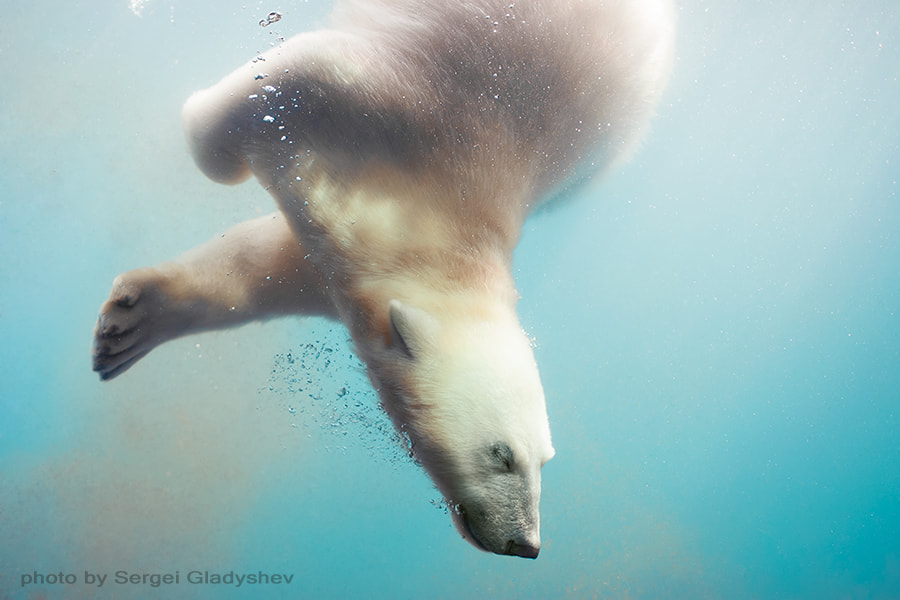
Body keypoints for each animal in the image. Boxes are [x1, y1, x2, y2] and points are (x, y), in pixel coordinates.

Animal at [95, 0, 672, 560]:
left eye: (545, 461)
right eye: (502, 454)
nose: (526, 545)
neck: (443, 213)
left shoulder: (343, 254)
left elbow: (260, 267)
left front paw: (129, 326)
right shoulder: (409, 109)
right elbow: (298, 73)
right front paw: (208, 132)